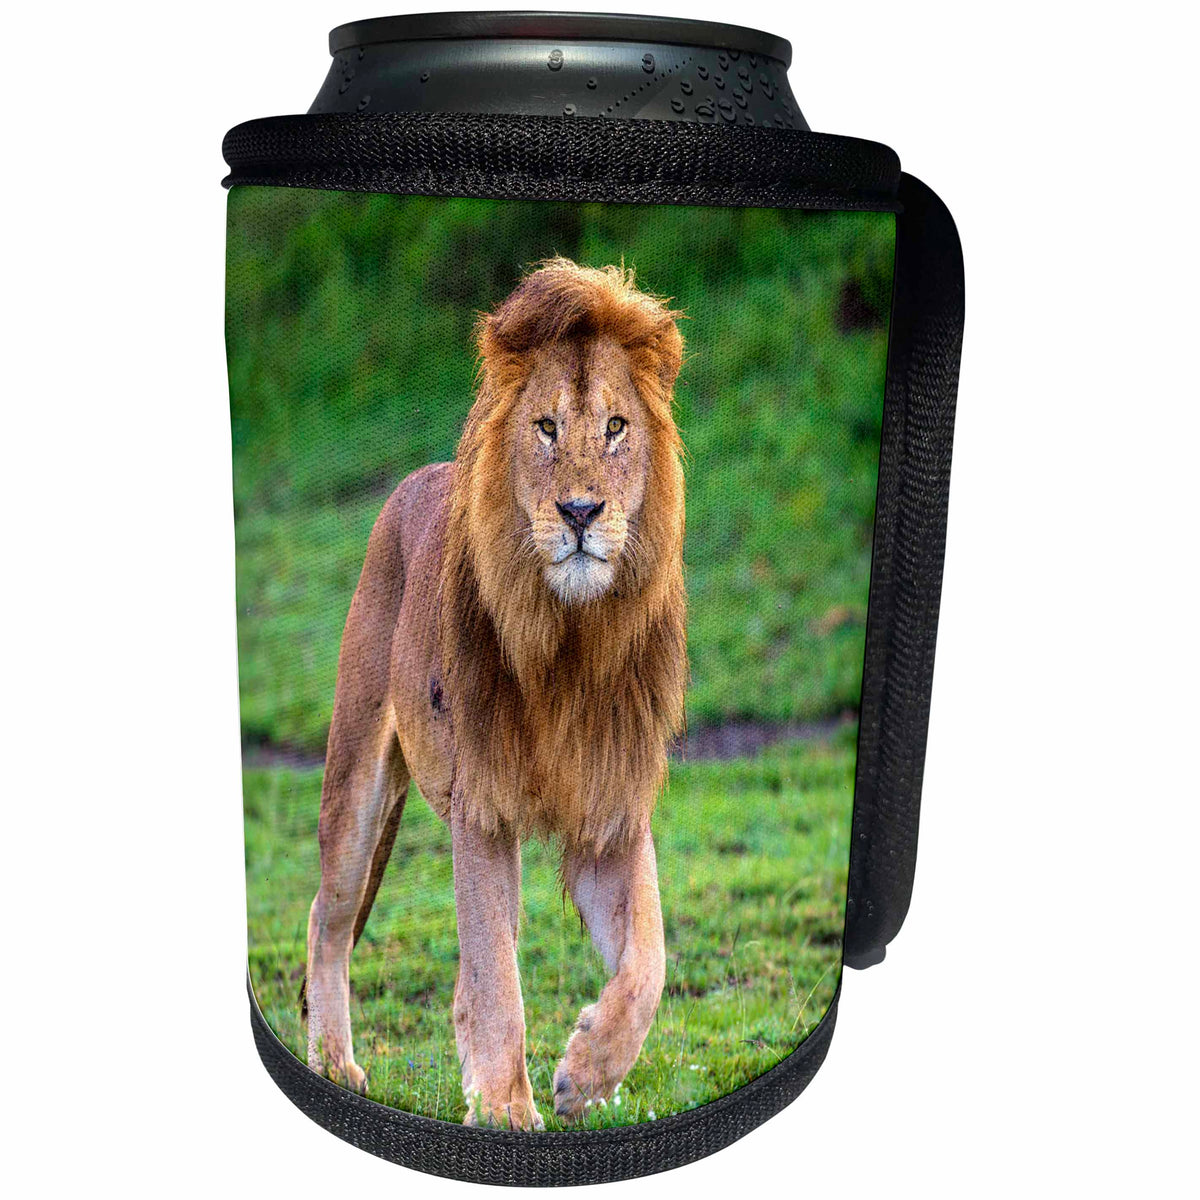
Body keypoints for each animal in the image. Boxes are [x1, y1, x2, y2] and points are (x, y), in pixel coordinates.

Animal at [302, 257, 688, 1130]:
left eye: (616, 427)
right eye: (545, 428)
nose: (579, 511)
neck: (570, 640)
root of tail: (418, 477)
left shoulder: (612, 811)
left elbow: (648, 961)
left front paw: (586, 1073)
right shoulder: (482, 807)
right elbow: (497, 977)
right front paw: (510, 1109)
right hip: (357, 781)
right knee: (329, 919)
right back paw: (335, 1065)